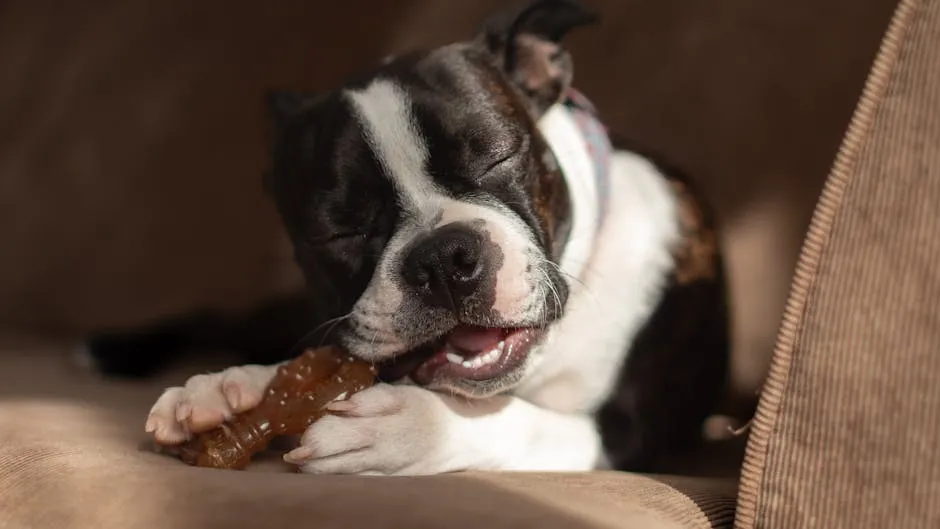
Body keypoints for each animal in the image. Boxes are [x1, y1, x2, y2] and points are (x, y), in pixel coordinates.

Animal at [82, 0, 728, 472]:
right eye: (338, 230)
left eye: (497, 157)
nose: (444, 258)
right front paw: (229, 388)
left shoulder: (631, 434)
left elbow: (518, 420)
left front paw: (411, 427)